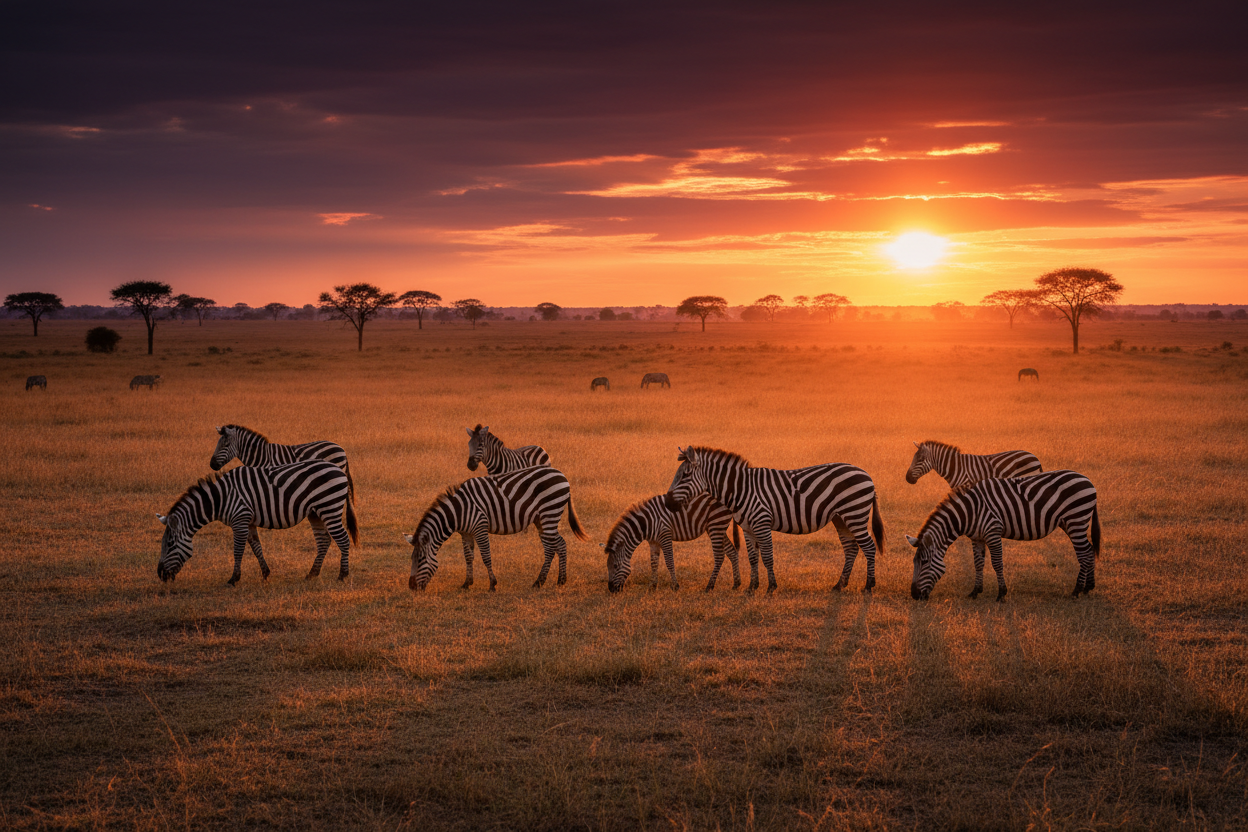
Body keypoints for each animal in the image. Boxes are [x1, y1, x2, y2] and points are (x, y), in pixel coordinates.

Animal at [156, 460, 358, 585]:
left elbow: (238, 550)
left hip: (329, 507)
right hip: (315, 512)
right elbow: (255, 546)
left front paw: (233, 579)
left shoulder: (240, 519)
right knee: (324, 541)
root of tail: (339, 469)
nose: (160, 575)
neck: (221, 498)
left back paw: (342, 575)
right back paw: (312, 574)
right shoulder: (248, 521)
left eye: (170, 544)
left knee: (343, 539)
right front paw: (265, 573)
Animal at [404, 465, 588, 591]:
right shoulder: (466, 533)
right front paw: (467, 583)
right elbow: (468, 557)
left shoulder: (480, 527)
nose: (411, 587)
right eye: (411, 559)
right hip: (541, 519)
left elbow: (486, 556)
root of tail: (561, 474)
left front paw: (492, 584)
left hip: (550, 513)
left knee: (554, 546)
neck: (458, 511)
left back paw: (545, 581)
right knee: (557, 545)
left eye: (421, 559)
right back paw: (554, 580)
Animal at [604, 492, 742, 593]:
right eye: (608, 566)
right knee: (732, 551)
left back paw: (709, 587)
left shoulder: (665, 535)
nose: (611, 590)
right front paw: (652, 586)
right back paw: (736, 584)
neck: (647, 522)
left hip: (716, 524)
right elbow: (654, 563)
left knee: (719, 556)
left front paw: (675, 586)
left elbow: (669, 562)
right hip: (716, 527)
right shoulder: (653, 541)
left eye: (615, 566)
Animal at [664, 446, 885, 594]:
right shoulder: (747, 528)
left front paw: (771, 587)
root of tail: (868, 475)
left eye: (685, 475)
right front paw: (752, 587)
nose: (667, 502)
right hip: (841, 518)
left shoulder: (762, 523)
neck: (742, 489)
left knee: (868, 547)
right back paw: (839, 585)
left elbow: (768, 556)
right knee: (851, 549)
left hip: (855, 513)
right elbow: (753, 558)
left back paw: (868, 586)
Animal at [907, 470, 1100, 601]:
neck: (968, 512)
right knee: (1090, 550)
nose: (914, 595)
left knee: (1084, 553)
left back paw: (1076, 591)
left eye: (924, 562)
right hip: (1070, 523)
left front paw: (1001, 594)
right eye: (914, 562)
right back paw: (1088, 587)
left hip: (1076, 520)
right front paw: (975, 591)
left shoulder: (993, 532)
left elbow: (997, 563)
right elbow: (978, 564)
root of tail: (1087, 479)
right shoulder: (977, 537)